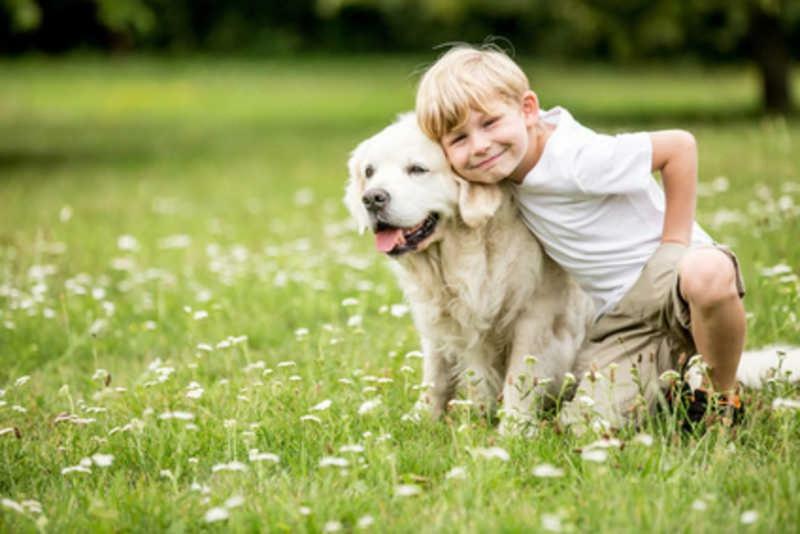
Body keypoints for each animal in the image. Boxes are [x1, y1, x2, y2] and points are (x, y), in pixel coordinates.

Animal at [344, 114, 592, 432]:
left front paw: (514, 429)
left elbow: (519, 374)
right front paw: (421, 418)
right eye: (369, 171)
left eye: (417, 169)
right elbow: (435, 374)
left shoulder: (537, 317)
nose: (372, 198)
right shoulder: (438, 321)